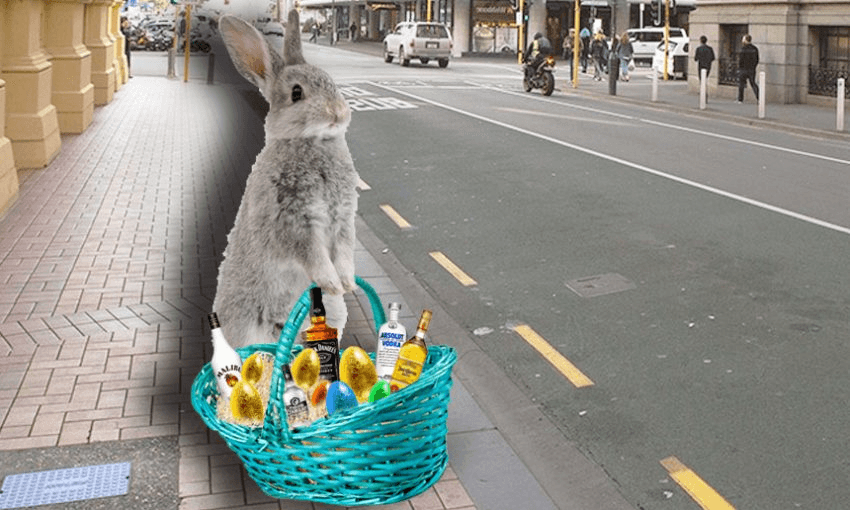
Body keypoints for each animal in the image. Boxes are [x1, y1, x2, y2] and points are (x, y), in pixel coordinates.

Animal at [212, 10, 358, 348]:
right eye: (296, 93)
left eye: (330, 80)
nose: (338, 112)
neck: (313, 142)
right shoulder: (294, 223)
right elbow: (314, 256)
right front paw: (332, 283)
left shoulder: (344, 221)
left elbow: (345, 253)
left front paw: (347, 284)